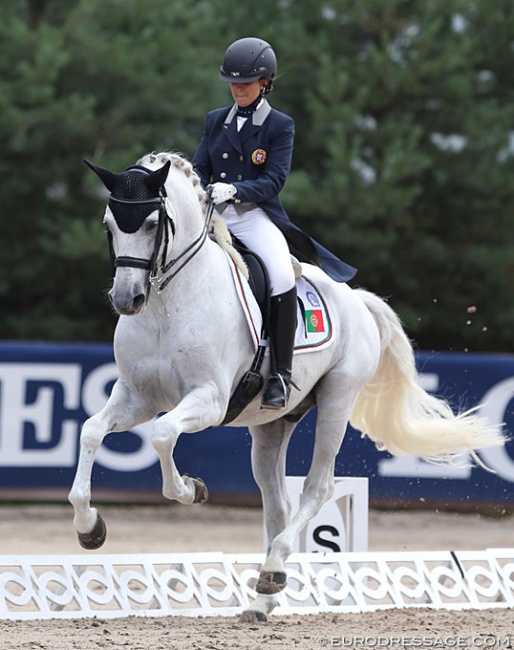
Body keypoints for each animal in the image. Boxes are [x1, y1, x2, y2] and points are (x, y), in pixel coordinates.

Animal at [69, 149, 504, 620]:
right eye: (109, 225)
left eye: (152, 224)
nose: (126, 300)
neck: (170, 302)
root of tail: (355, 298)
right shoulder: (137, 396)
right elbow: (91, 430)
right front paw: (90, 528)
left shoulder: (209, 399)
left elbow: (164, 434)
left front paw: (191, 489)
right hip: (271, 424)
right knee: (278, 503)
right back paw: (263, 598)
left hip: (337, 399)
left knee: (318, 487)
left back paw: (275, 570)